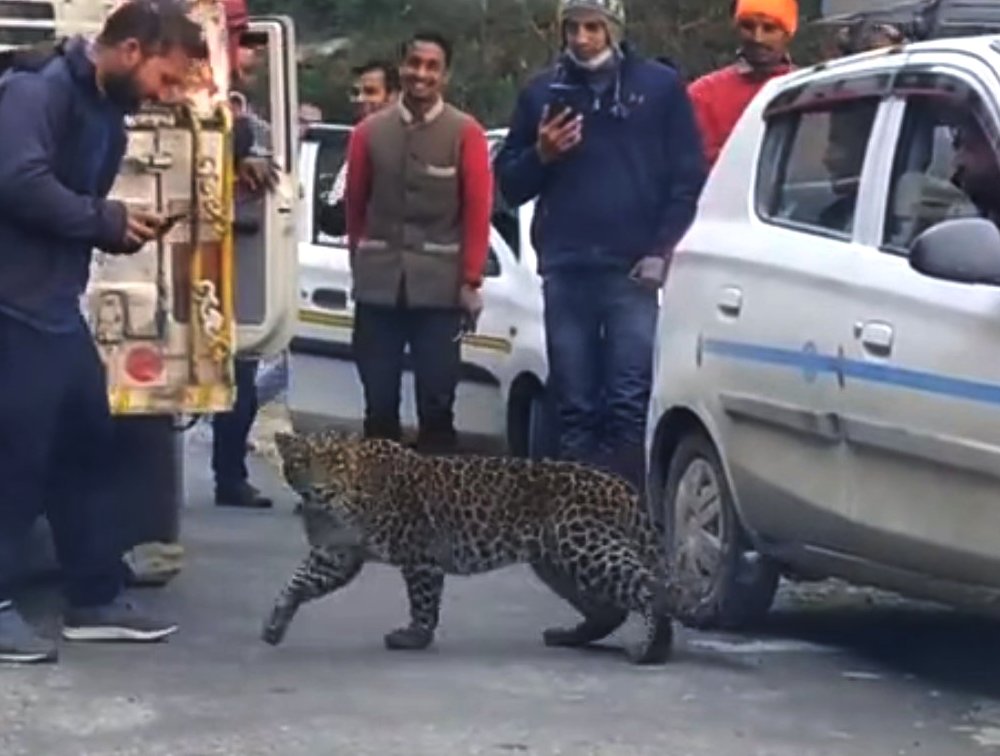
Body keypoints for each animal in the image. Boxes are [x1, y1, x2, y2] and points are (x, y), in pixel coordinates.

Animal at [262, 428, 680, 664]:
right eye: (301, 462)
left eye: (335, 462)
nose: (321, 490)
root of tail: (621, 485)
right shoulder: (337, 556)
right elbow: (297, 584)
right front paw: (273, 626)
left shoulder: (420, 554)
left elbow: (423, 601)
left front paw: (414, 637)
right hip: (555, 561)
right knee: (610, 609)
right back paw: (568, 636)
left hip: (584, 545)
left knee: (650, 588)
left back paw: (651, 651)